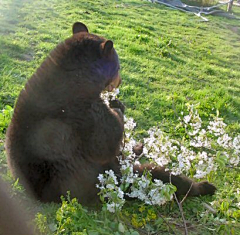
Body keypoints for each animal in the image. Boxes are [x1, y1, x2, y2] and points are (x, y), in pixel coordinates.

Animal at [5, 22, 216, 206]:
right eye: (119, 67)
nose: (120, 81)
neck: (78, 76)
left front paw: (117, 103)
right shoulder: (82, 112)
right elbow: (105, 141)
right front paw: (117, 107)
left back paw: (139, 146)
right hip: (111, 178)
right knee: (160, 176)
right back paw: (203, 186)